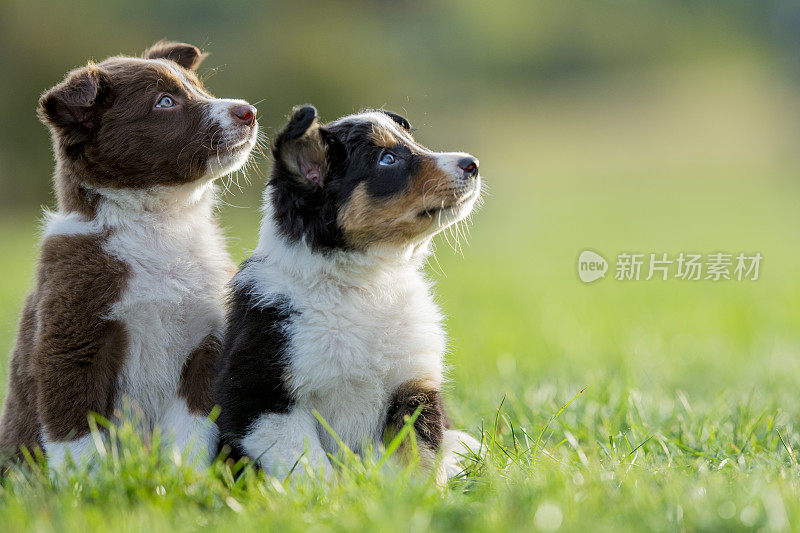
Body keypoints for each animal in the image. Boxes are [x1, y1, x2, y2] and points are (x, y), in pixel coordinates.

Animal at [0, 41, 258, 468]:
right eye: (165, 102)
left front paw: (185, 478)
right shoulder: (71, 342)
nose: (249, 112)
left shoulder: (205, 342)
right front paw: (89, 482)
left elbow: (192, 431)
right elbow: (78, 437)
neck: (160, 225)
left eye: (199, 89)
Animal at [212, 107, 484, 482]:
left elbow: (416, 461)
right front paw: (334, 496)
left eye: (413, 144)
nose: (473, 164)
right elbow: (309, 467)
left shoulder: (414, 386)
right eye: (388, 159)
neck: (365, 285)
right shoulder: (261, 396)